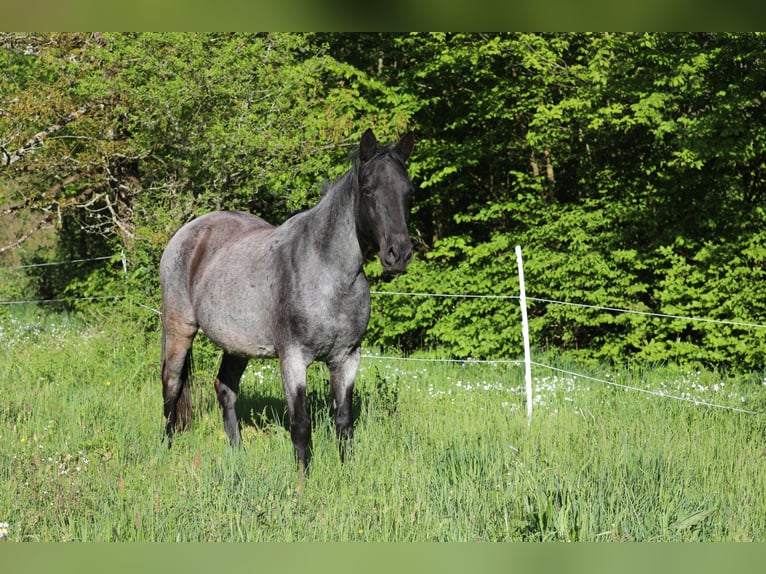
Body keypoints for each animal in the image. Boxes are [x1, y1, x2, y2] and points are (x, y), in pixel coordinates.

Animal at [159, 129, 414, 471]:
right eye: (368, 190)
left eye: (408, 192)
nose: (399, 254)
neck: (329, 274)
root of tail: (187, 232)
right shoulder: (293, 358)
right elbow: (301, 425)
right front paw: (302, 481)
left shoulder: (347, 358)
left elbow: (344, 422)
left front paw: (346, 474)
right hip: (179, 330)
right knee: (171, 385)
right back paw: (166, 448)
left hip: (237, 345)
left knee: (225, 389)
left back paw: (237, 454)